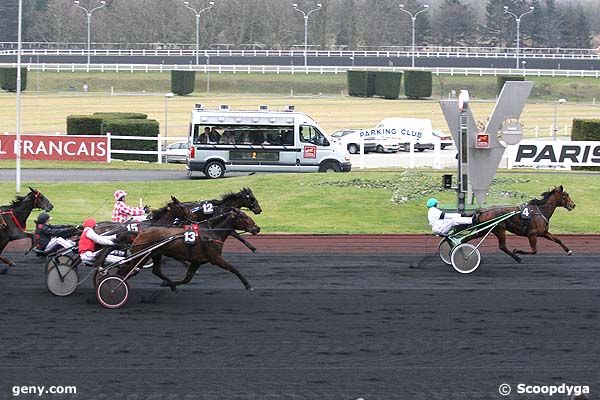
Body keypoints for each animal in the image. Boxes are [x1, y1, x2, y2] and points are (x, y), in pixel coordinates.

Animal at [120, 208, 260, 290]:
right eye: (244, 216)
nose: (257, 228)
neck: (211, 233)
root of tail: (141, 232)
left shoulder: (197, 261)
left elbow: (187, 279)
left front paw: (170, 284)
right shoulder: (215, 258)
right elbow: (233, 269)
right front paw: (248, 285)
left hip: (155, 254)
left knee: (155, 271)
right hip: (141, 255)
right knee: (127, 270)